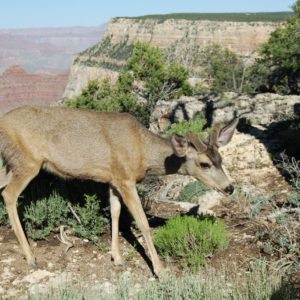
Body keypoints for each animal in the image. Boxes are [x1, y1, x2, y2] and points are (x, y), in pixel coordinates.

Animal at [0, 105, 238, 276]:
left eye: (221, 159)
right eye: (204, 164)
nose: (229, 187)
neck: (143, 152)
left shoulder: (114, 179)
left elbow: (115, 212)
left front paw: (117, 258)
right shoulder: (126, 179)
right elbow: (142, 222)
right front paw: (159, 268)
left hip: (12, 163)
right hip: (27, 161)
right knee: (8, 195)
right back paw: (30, 256)